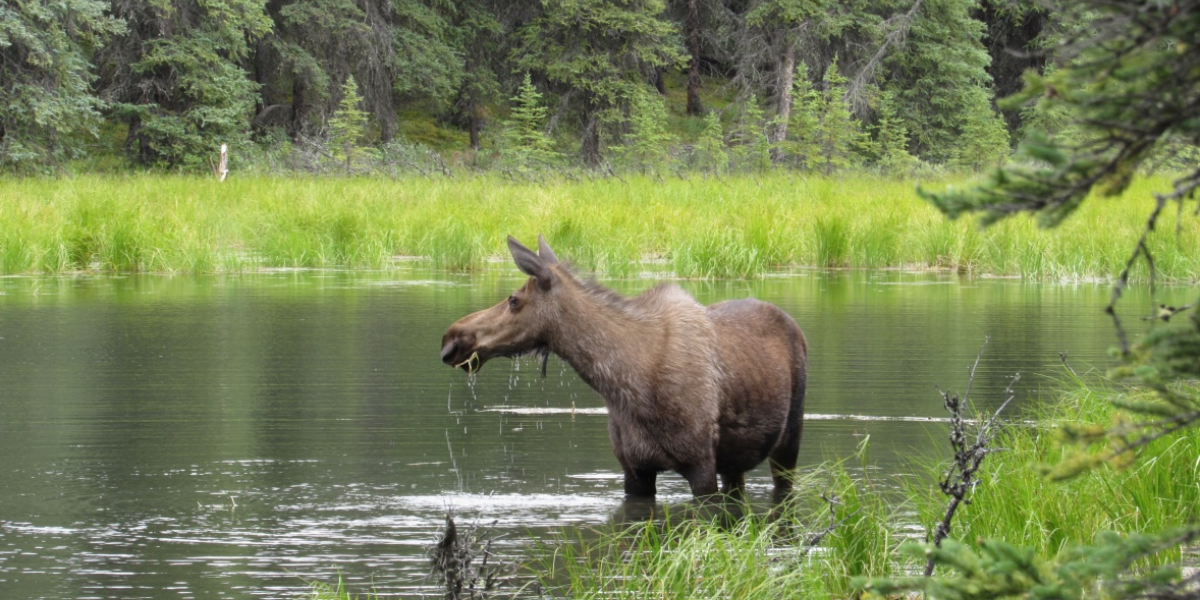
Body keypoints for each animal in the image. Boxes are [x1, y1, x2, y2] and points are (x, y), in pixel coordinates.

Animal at [441, 236, 806, 499]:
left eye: (514, 300)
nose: (451, 340)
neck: (625, 384)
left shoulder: (700, 464)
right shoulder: (634, 469)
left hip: (788, 441)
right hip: (735, 461)